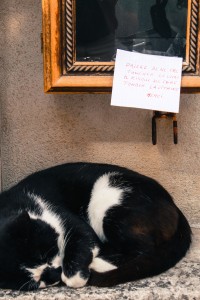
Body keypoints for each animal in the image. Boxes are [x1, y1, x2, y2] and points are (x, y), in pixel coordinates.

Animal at [0, 162, 192, 290]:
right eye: (33, 282)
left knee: (143, 248)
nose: (53, 274)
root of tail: (172, 203)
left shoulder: (71, 222)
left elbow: (81, 245)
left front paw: (74, 276)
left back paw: (97, 263)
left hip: (106, 203)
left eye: (44, 255)